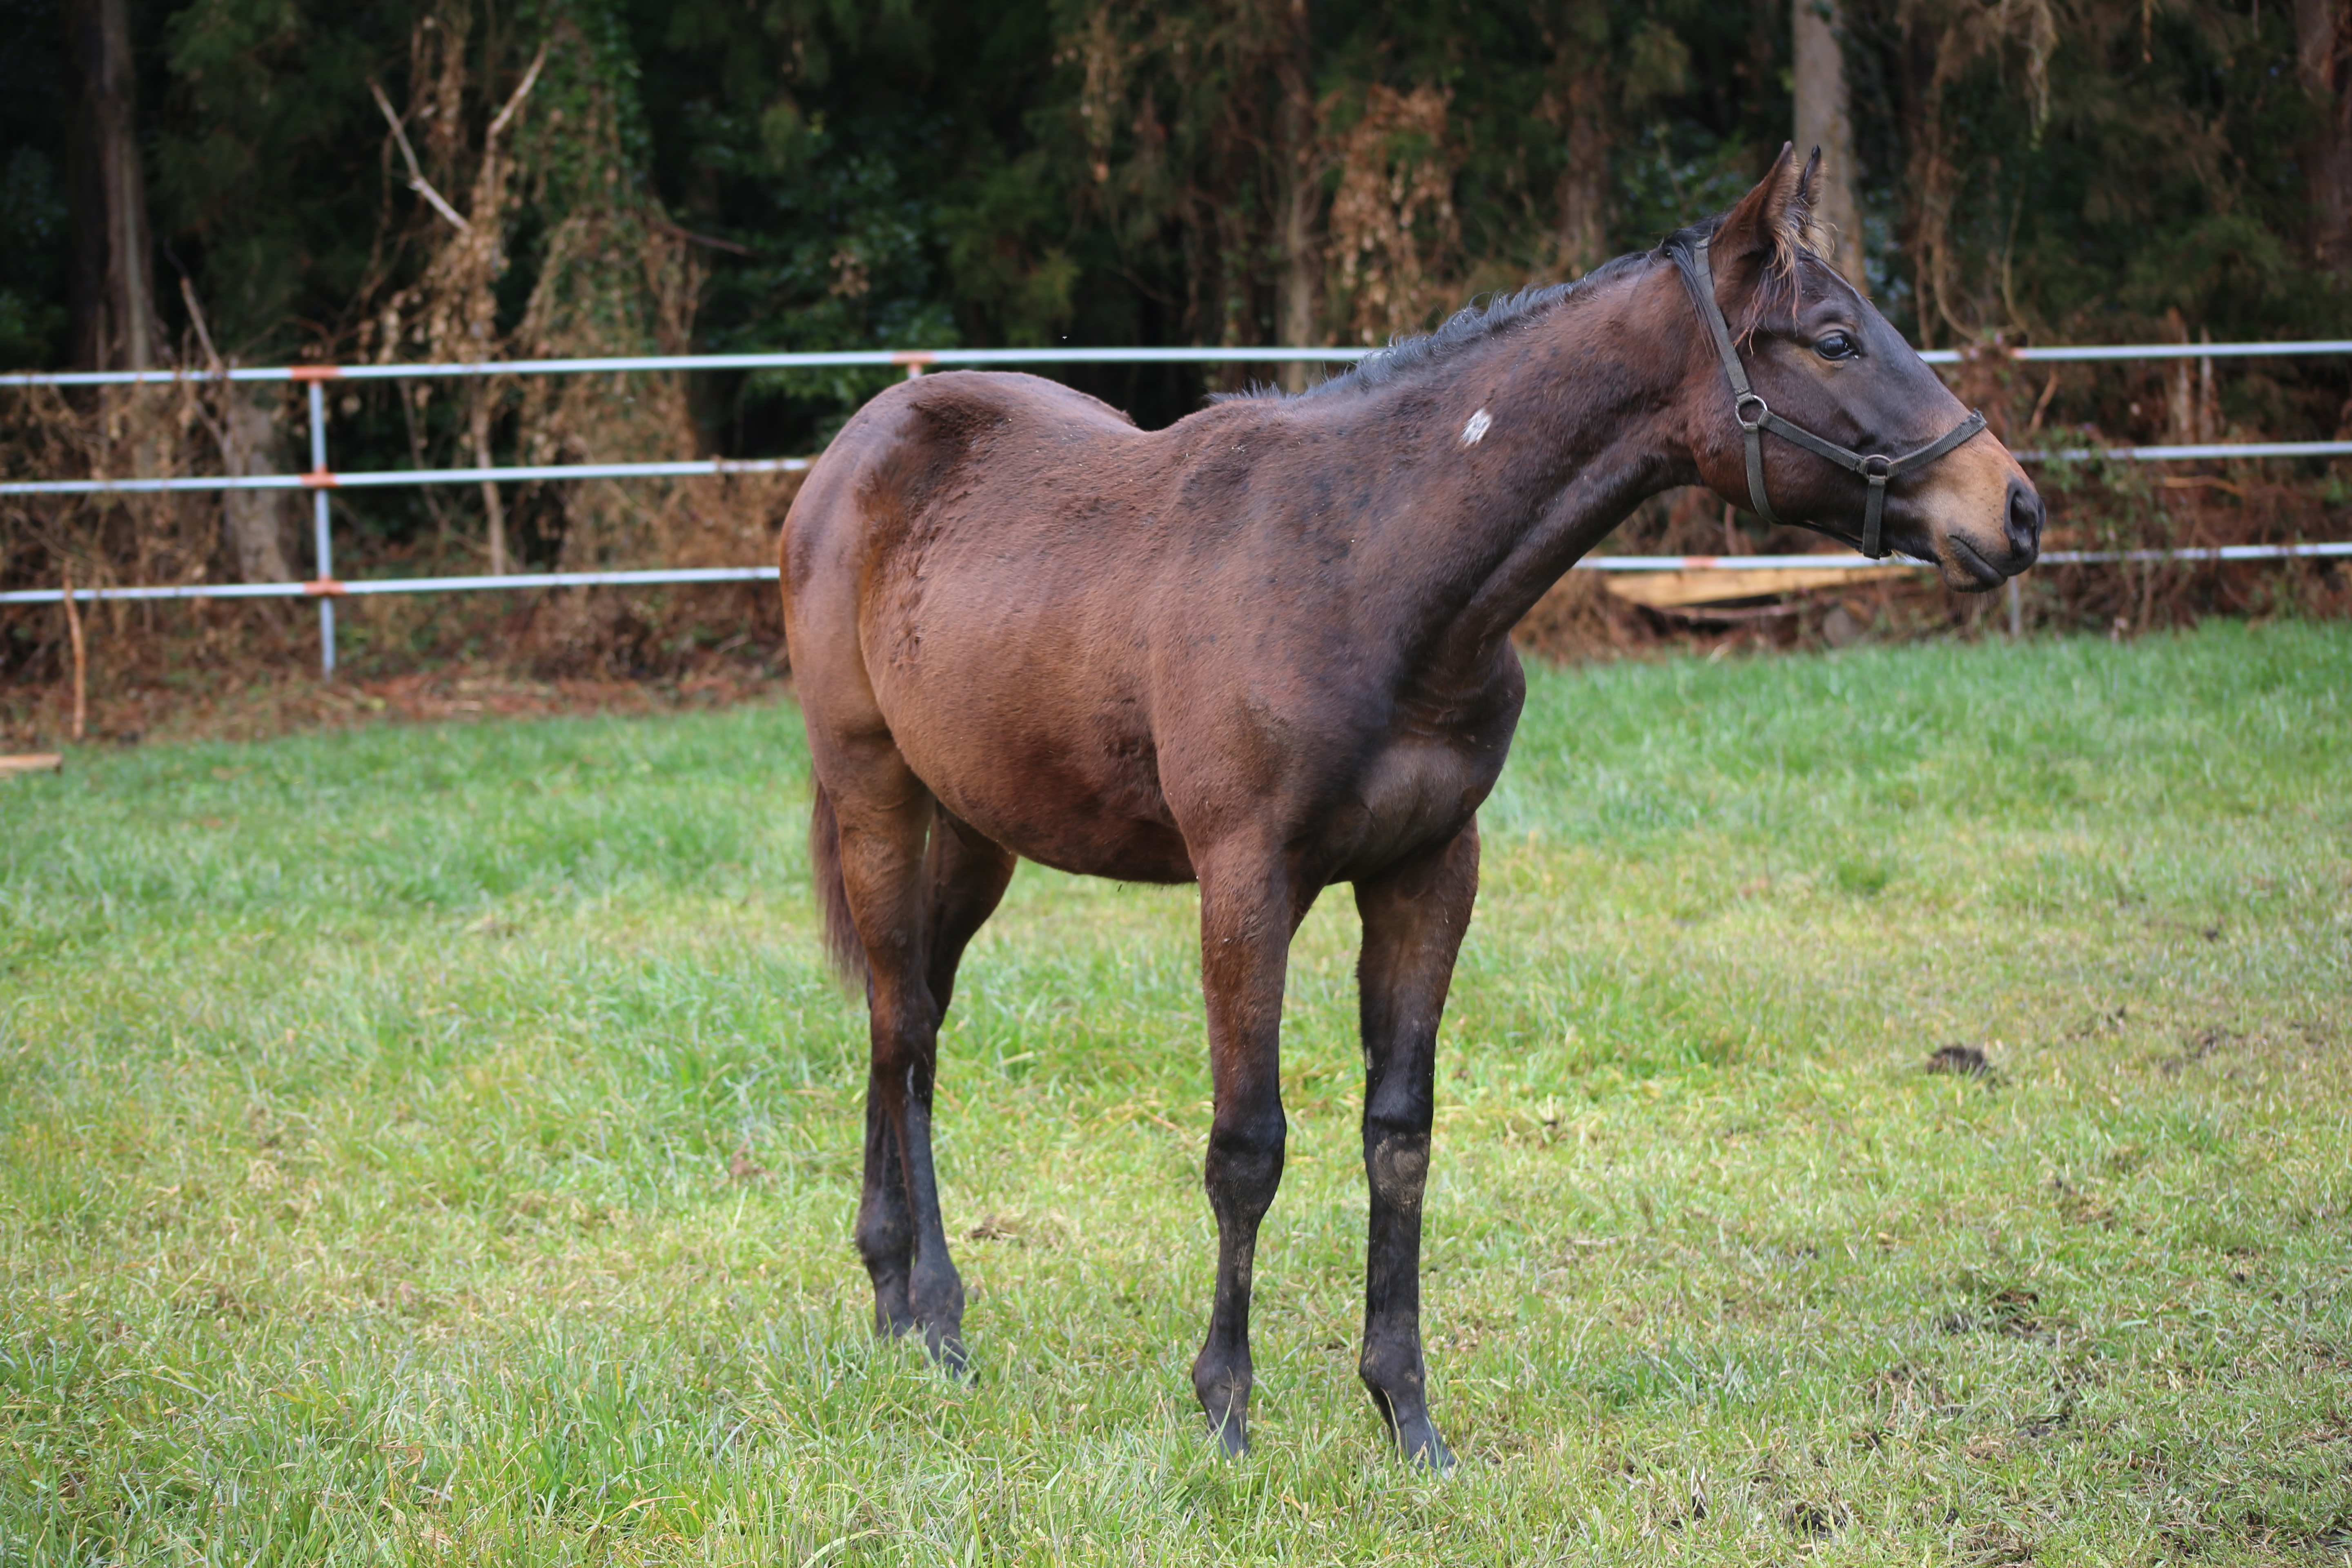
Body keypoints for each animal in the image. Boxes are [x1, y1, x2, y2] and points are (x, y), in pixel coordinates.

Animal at [776, 150, 2041, 1476]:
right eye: (1836, 338)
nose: (2014, 508)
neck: (1369, 571)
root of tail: (860, 447)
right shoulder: (1246, 879)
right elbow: (1247, 1145)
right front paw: (1225, 1411)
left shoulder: (1430, 871)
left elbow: (1400, 1132)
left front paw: (1405, 1412)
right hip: (876, 793)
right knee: (903, 1021)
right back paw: (925, 1310)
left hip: (977, 826)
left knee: (909, 1011)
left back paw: (900, 1294)